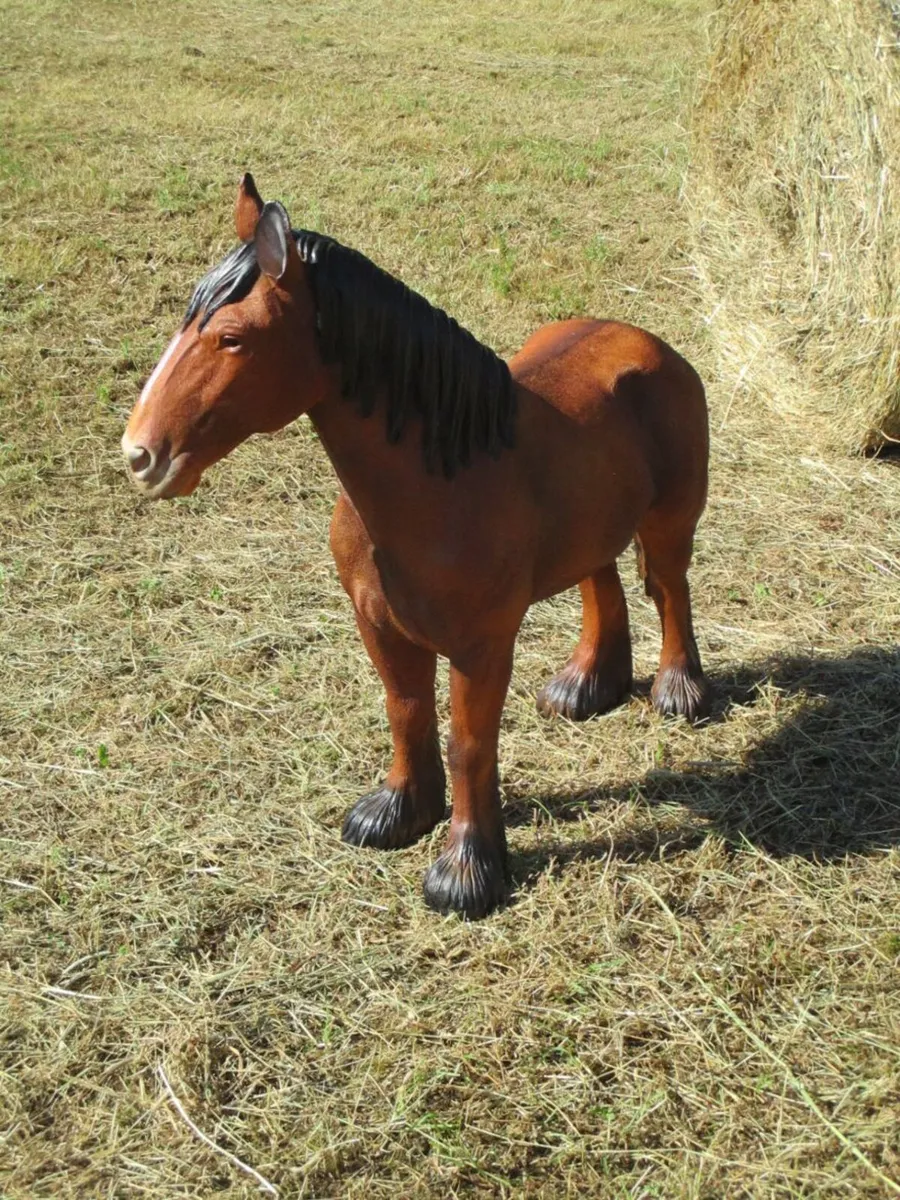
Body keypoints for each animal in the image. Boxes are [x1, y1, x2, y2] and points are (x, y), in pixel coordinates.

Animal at [122, 173, 710, 919]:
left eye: (231, 338)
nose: (140, 455)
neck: (438, 481)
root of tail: (649, 344)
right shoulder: (380, 624)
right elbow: (405, 713)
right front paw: (398, 813)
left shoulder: (480, 645)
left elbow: (468, 744)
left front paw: (465, 870)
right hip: (596, 524)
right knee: (600, 581)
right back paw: (584, 686)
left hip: (669, 523)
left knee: (670, 590)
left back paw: (679, 691)